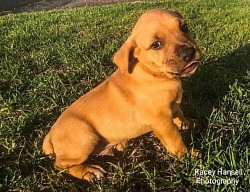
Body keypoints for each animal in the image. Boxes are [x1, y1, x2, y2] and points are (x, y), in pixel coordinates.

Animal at [43, 8, 202, 182]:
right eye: (156, 45)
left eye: (184, 27)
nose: (189, 52)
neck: (153, 74)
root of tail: (50, 134)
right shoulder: (161, 121)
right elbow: (175, 139)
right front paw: (188, 156)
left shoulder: (173, 106)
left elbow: (180, 114)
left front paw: (189, 124)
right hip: (84, 137)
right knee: (61, 165)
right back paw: (88, 171)